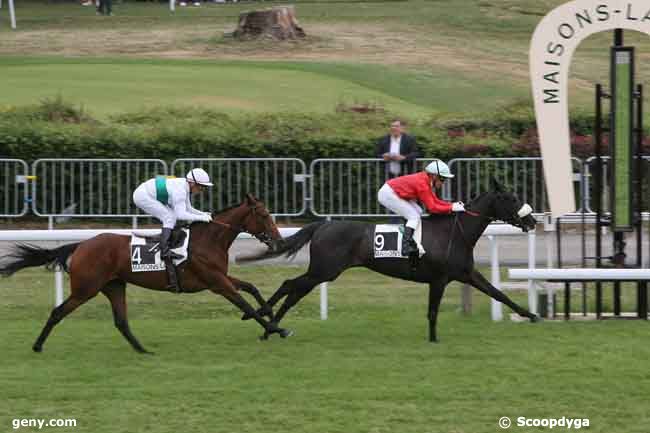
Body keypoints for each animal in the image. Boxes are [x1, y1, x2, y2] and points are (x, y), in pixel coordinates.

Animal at [0, 194, 288, 352]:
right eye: (264, 215)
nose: (278, 241)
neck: (208, 240)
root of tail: (81, 244)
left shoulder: (220, 277)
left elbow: (251, 287)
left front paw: (269, 313)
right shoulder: (216, 282)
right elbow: (244, 303)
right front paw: (276, 328)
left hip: (114, 285)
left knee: (121, 321)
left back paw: (142, 350)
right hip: (86, 289)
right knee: (58, 312)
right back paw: (37, 346)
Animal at [240, 179, 540, 340]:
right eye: (512, 199)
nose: (532, 221)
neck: (456, 231)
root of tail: (322, 226)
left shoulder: (466, 274)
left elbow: (499, 293)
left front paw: (531, 314)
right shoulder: (440, 279)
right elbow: (433, 311)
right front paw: (433, 339)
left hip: (323, 272)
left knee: (294, 290)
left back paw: (270, 326)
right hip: (324, 271)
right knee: (290, 285)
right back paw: (265, 321)